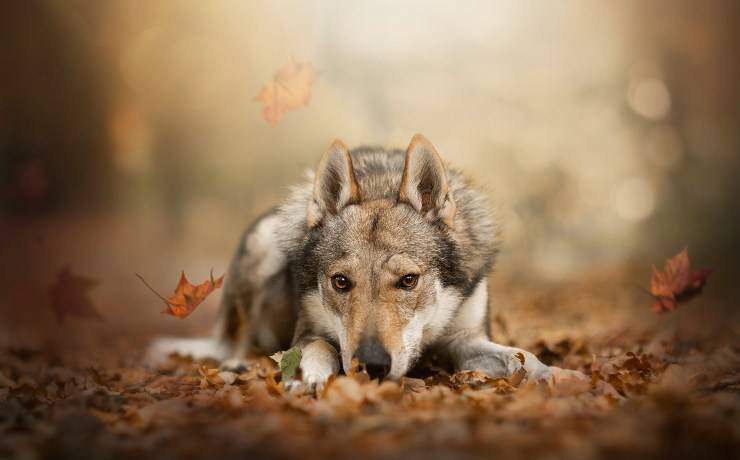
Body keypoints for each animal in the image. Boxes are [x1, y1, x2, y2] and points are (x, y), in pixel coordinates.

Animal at [149, 134, 548, 392]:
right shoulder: (308, 331)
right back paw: (237, 362)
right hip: (263, 243)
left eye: (408, 280)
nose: (370, 365)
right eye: (340, 282)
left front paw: (554, 375)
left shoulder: (467, 340)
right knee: (233, 343)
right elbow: (322, 347)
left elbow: (522, 356)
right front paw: (311, 376)